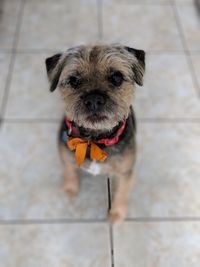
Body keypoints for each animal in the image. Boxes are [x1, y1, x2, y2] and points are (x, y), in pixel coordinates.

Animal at [45, 44, 145, 224]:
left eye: (116, 77)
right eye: (73, 80)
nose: (93, 100)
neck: (94, 140)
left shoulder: (125, 171)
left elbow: (122, 191)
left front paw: (116, 214)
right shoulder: (65, 156)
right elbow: (69, 170)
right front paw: (70, 188)